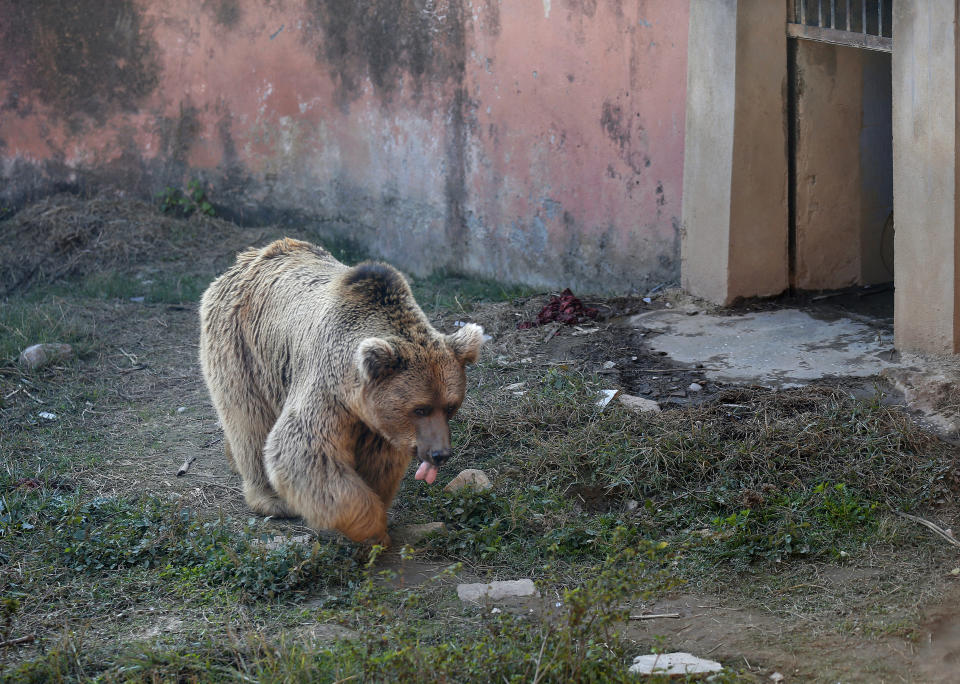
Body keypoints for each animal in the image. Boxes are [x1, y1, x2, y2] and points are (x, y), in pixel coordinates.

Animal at [199, 238, 484, 548]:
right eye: (420, 408)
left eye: (450, 406)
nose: (439, 454)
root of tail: (245, 260)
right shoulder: (327, 390)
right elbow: (302, 451)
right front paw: (372, 527)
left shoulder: (374, 419)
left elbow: (378, 462)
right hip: (242, 348)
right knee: (249, 422)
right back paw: (271, 497)